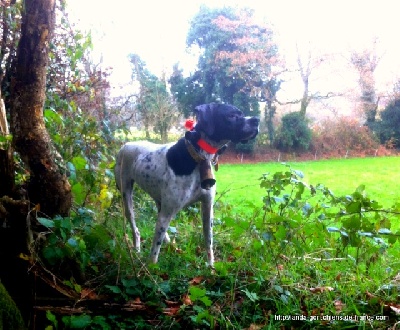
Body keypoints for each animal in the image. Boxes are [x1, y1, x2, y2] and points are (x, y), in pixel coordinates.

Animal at [115, 102, 260, 266]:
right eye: (231, 115)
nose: (257, 120)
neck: (198, 157)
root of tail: (124, 145)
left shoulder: (207, 208)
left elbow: (208, 242)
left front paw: (211, 267)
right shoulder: (168, 212)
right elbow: (154, 252)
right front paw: (151, 268)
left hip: (159, 200)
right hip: (126, 195)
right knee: (136, 227)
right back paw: (137, 248)